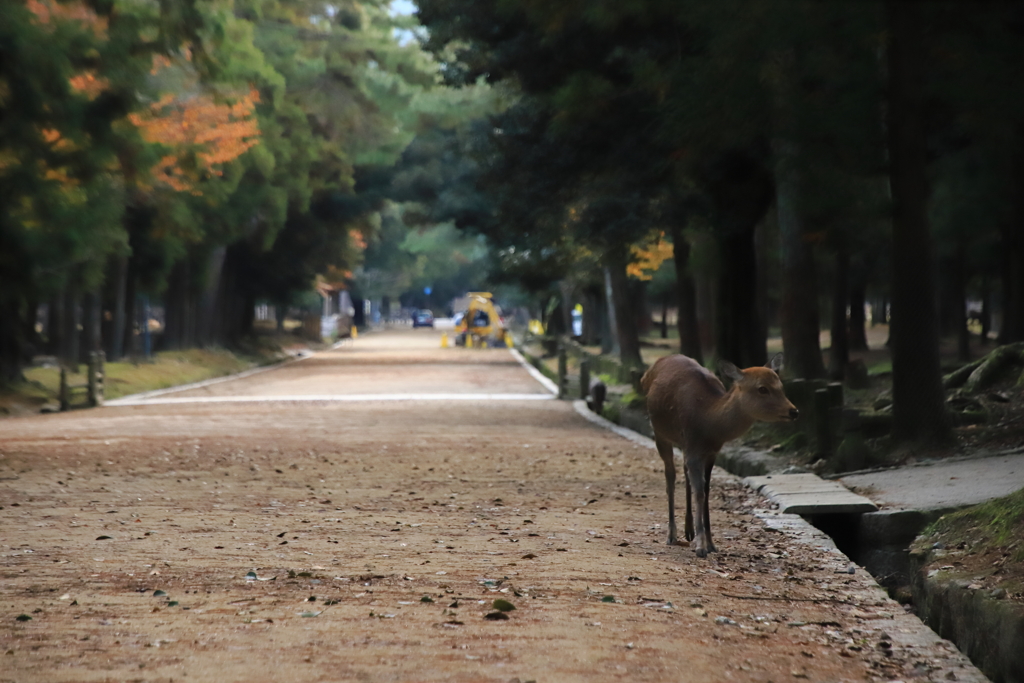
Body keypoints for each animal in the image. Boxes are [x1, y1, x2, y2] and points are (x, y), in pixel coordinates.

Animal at [638, 356, 798, 557]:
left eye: (781, 386)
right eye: (762, 388)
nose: (794, 411)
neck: (708, 423)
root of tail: (648, 371)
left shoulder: (711, 453)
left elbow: (706, 491)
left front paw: (711, 544)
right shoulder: (693, 446)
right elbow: (699, 492)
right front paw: (701, 547)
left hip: (683, 443)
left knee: (684, 471)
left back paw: (688, 531)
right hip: (659, 432)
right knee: (670, 476)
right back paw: (672, 535)